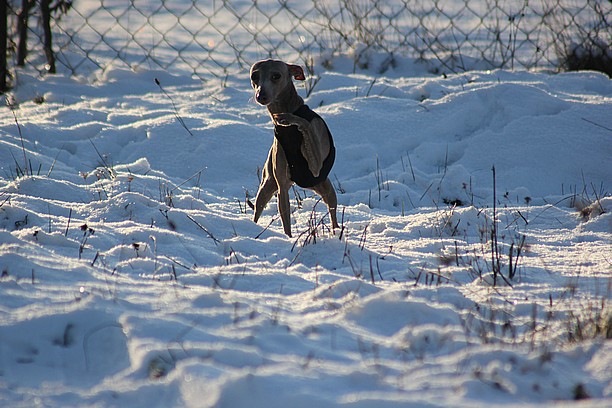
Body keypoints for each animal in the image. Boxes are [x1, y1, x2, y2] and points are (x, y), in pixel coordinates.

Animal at [251, 57, 342, 236]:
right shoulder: (282, 187)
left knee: (333, 212)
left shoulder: (315, 167)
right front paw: (288, 238)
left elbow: (305, 124)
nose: (261, 96)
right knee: (258, 208)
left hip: (325, 187)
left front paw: (288, 118)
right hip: (267, 186)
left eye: (276, 76)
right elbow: (286, 223)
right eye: (254, 76)